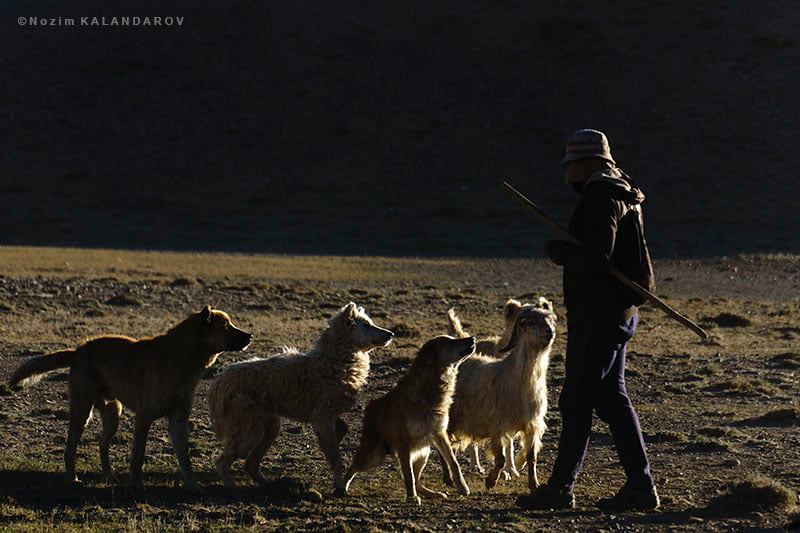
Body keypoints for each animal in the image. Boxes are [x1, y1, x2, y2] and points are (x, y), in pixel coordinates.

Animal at [9, 304, 250, 490]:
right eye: (226, 326)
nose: (251, 336)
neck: (183, 359)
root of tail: (79, 351)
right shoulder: (144, 418)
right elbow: (138, 456)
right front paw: (136, 484)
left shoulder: (178, 420)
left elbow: (185, 457)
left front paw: (192, 484)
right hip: (82, 412)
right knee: (70, 449)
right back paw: (73, 479)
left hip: (112, 413)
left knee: (102, 446)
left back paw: (110, 477)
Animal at [346, 334, 476, 504]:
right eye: (450, 342)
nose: (473, 338)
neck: (430, 392)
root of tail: (370, 407)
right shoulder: (403, 441)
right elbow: (408, 475)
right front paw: (411, 497)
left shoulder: (440, 434)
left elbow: (454, 463)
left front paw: (462, 487)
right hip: (372, 457)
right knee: (351, 467)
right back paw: (340, 488)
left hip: (423, 452)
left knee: (419, 481)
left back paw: (433, 493)